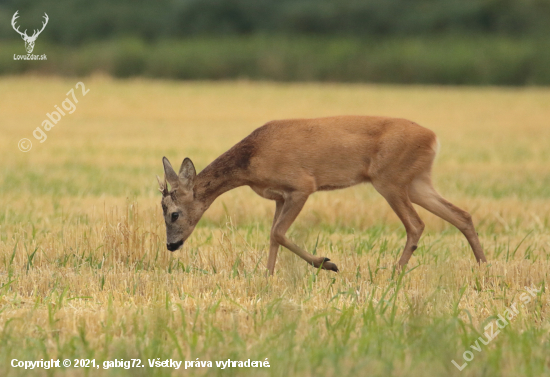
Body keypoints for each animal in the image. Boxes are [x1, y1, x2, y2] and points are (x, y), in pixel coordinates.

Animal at [157, 114, 490, 274]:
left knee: (416, 224)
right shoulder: (279, 196)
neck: (252, 158)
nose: (172, 246)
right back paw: (484, 267)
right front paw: (267, 276)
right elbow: (272, 235)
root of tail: (433, 138)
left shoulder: (302, 185)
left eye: (174, 213)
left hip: (390, 179)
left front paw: (327, 263)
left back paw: (394, 273)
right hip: (417, 181)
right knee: (461, 214)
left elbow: (278, 233)